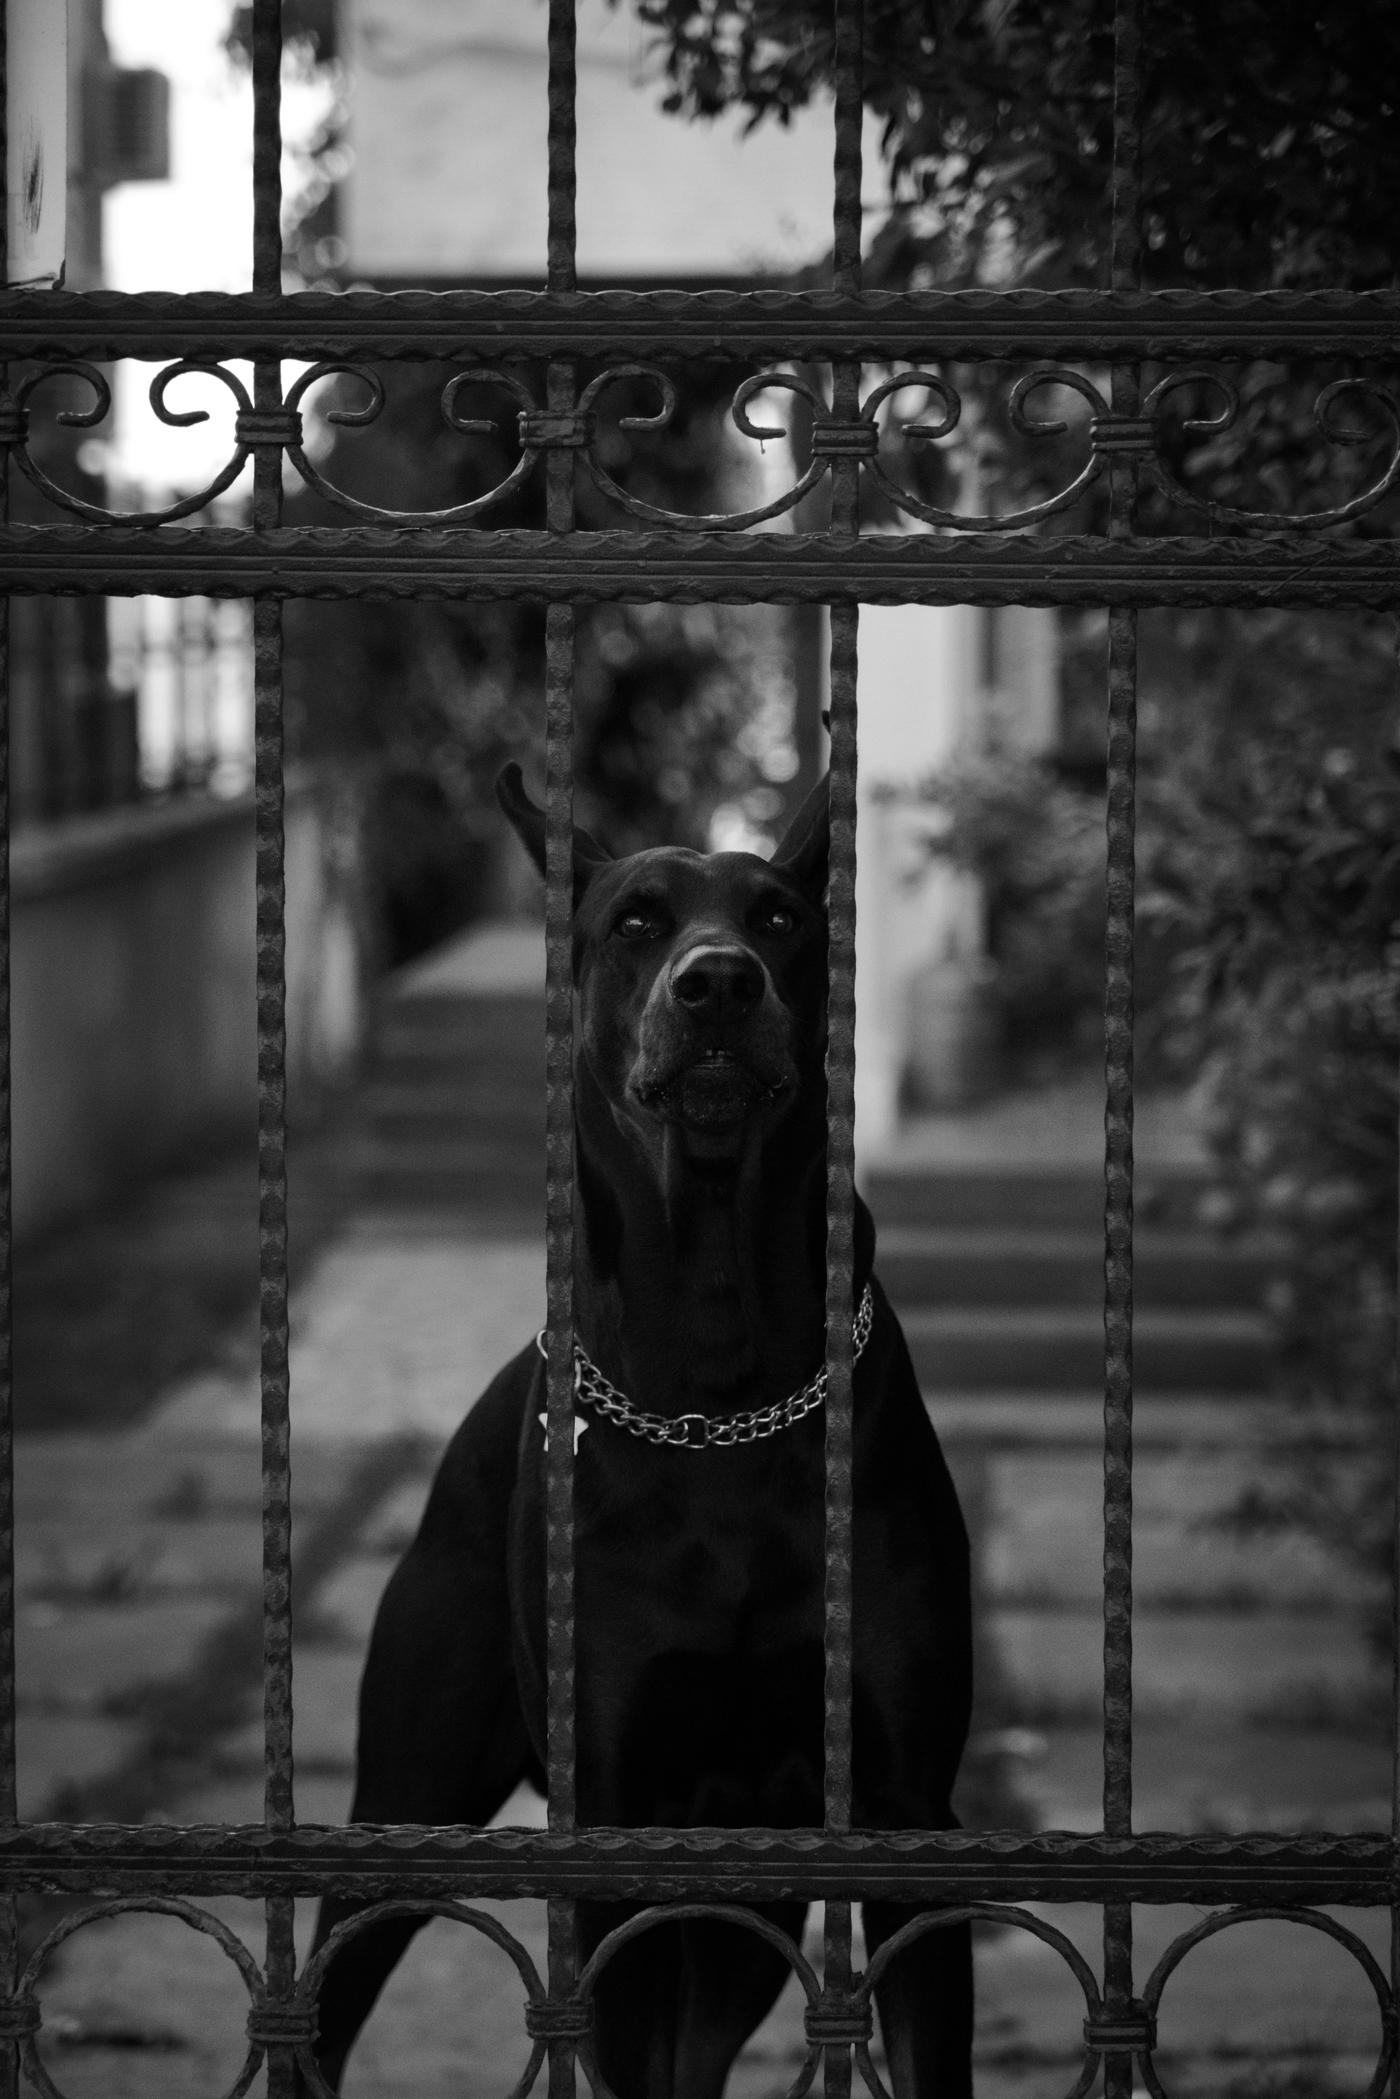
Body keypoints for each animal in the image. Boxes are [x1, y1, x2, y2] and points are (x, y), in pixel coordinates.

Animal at [308, 772, 973, 2099]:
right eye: (633, 920)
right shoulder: (613, 1822)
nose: (715, 982)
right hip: (405, 1789)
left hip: (740, 1920)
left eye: (779, 918)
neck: (714, 1381)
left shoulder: (905, 1805)